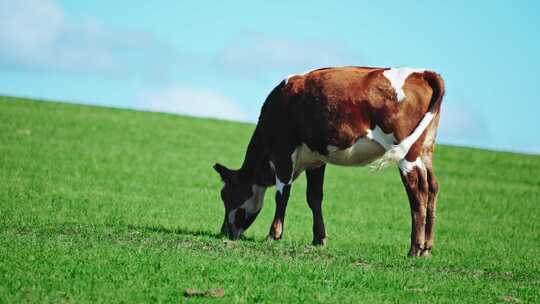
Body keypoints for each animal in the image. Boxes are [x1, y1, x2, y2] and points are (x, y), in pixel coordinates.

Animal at [213, 66, 446, 256]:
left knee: (418, 191)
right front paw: (319, 239)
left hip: (408, 154)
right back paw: (426, 248)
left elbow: (282, 195)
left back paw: (414, 249)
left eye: (225, 195)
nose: (225, 232)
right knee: (433, 187)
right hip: (425, 151)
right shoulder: (316, 159)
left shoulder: (282, 152)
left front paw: (273, 235)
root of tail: (422, 73)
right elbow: (314, 198)